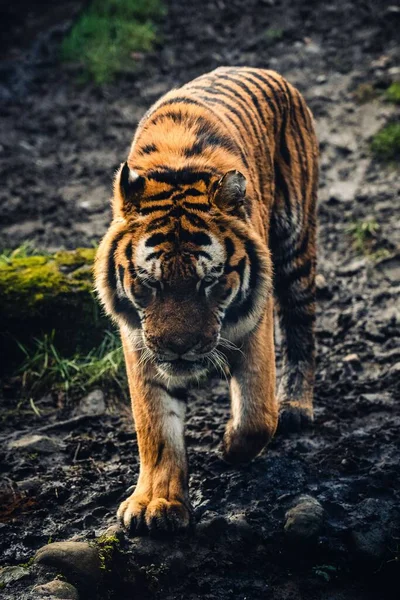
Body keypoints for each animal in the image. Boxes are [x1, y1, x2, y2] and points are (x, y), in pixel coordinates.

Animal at [94, 65, 318, 536]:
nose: (179, 348)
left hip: (296, 243)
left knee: (301, 327)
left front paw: (230, 446)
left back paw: (296, 406)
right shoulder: (139, 341)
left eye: (209, 282)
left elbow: (257, 415)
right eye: (149, 284)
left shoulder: (254, 322)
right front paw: (156, 504)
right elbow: (156, 428)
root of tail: (264, 70)